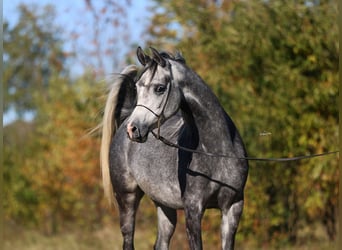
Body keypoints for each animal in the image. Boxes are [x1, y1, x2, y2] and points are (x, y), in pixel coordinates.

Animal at [100, 47, 247, 250]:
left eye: (160, 88)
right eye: (138, 88)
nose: (133, 129)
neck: (218, 153)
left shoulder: (232, 207)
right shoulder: (193, 209)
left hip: (164, 205)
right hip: (126, 198)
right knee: (128, 240)